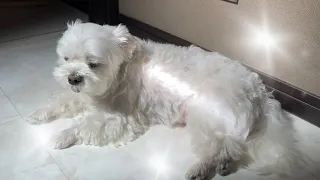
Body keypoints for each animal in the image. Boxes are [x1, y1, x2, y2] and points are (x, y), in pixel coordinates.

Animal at [27, 20, 308, 179]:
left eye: (93, 64)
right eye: (66, 59)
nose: (73, 78)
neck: (121, 70)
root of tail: (259, 91)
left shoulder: (119, 119)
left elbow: (85, 125)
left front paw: (60, 136)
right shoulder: (85, 96)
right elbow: (61, 100)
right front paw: (38, 114)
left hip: (205, 115)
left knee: (224, 145)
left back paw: (201, 168)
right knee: (231, 146)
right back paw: (222, 166)